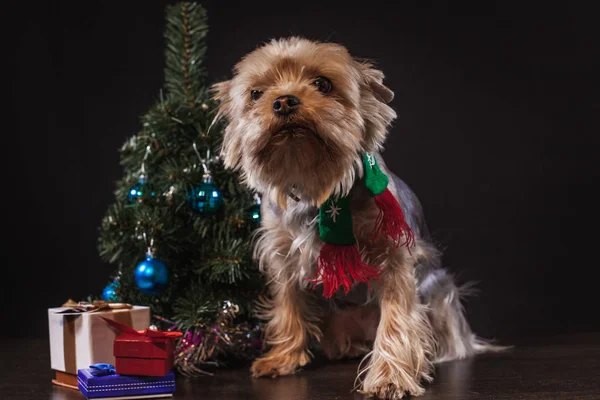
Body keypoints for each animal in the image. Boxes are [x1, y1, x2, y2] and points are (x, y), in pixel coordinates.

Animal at [213, 36, 494, 396]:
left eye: (323, 84)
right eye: (256, 93)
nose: (284, 101)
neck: (313, 186)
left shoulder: (392, 252)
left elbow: (397, 316)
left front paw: (390, 377)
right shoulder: (281, 252)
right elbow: (287, 302)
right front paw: (283, 357)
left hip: (441, 291)